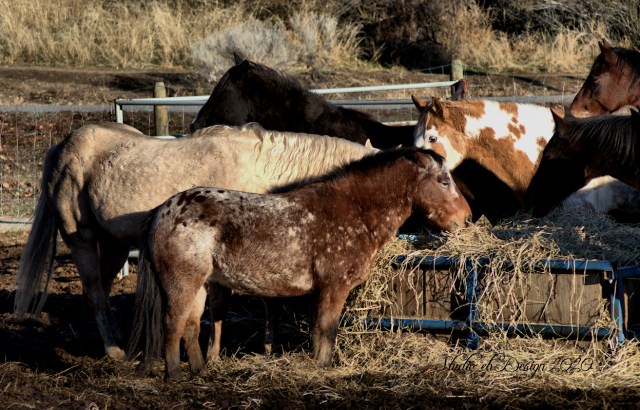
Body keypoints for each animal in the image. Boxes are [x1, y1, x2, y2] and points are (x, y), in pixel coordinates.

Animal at [15, 121, 379, 361]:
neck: (264, 170)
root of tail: (61, 147)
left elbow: (269, 300)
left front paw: (267, 347)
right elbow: (220, 304)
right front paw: (214, 354)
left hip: (114, 243)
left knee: (102, 290)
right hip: (82, 239)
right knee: (94, 294)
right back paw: (115, 351)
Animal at [129, 148, 472, 380]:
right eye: (444, 181)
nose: (466, 218)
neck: (356, 210)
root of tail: (163, 210)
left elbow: (319, 331)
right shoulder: (333, 287)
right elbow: (327, 330)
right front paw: (323, 367)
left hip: (202, 284)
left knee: (190, 326)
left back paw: (200, 371)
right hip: (182, 284)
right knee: (173, 324)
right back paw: (175, 374)